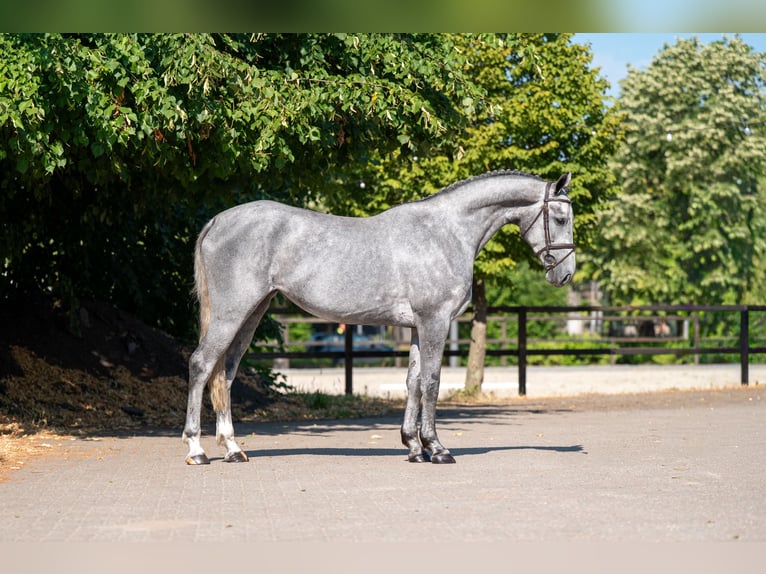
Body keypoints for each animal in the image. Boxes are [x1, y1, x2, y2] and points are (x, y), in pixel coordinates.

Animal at [183, 170, 575, 465]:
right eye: (560, 218)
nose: (566, 274)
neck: (444, 232)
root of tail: (218, 220)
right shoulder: (435, 321)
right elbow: (432, 382)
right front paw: (437, 448)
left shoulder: (417, 327)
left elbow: (413, 382)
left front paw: (414, 447)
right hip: (232, 312)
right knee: (201, 364)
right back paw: (197, 449)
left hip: (252, 314)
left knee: (226, 372)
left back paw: (233, 448)